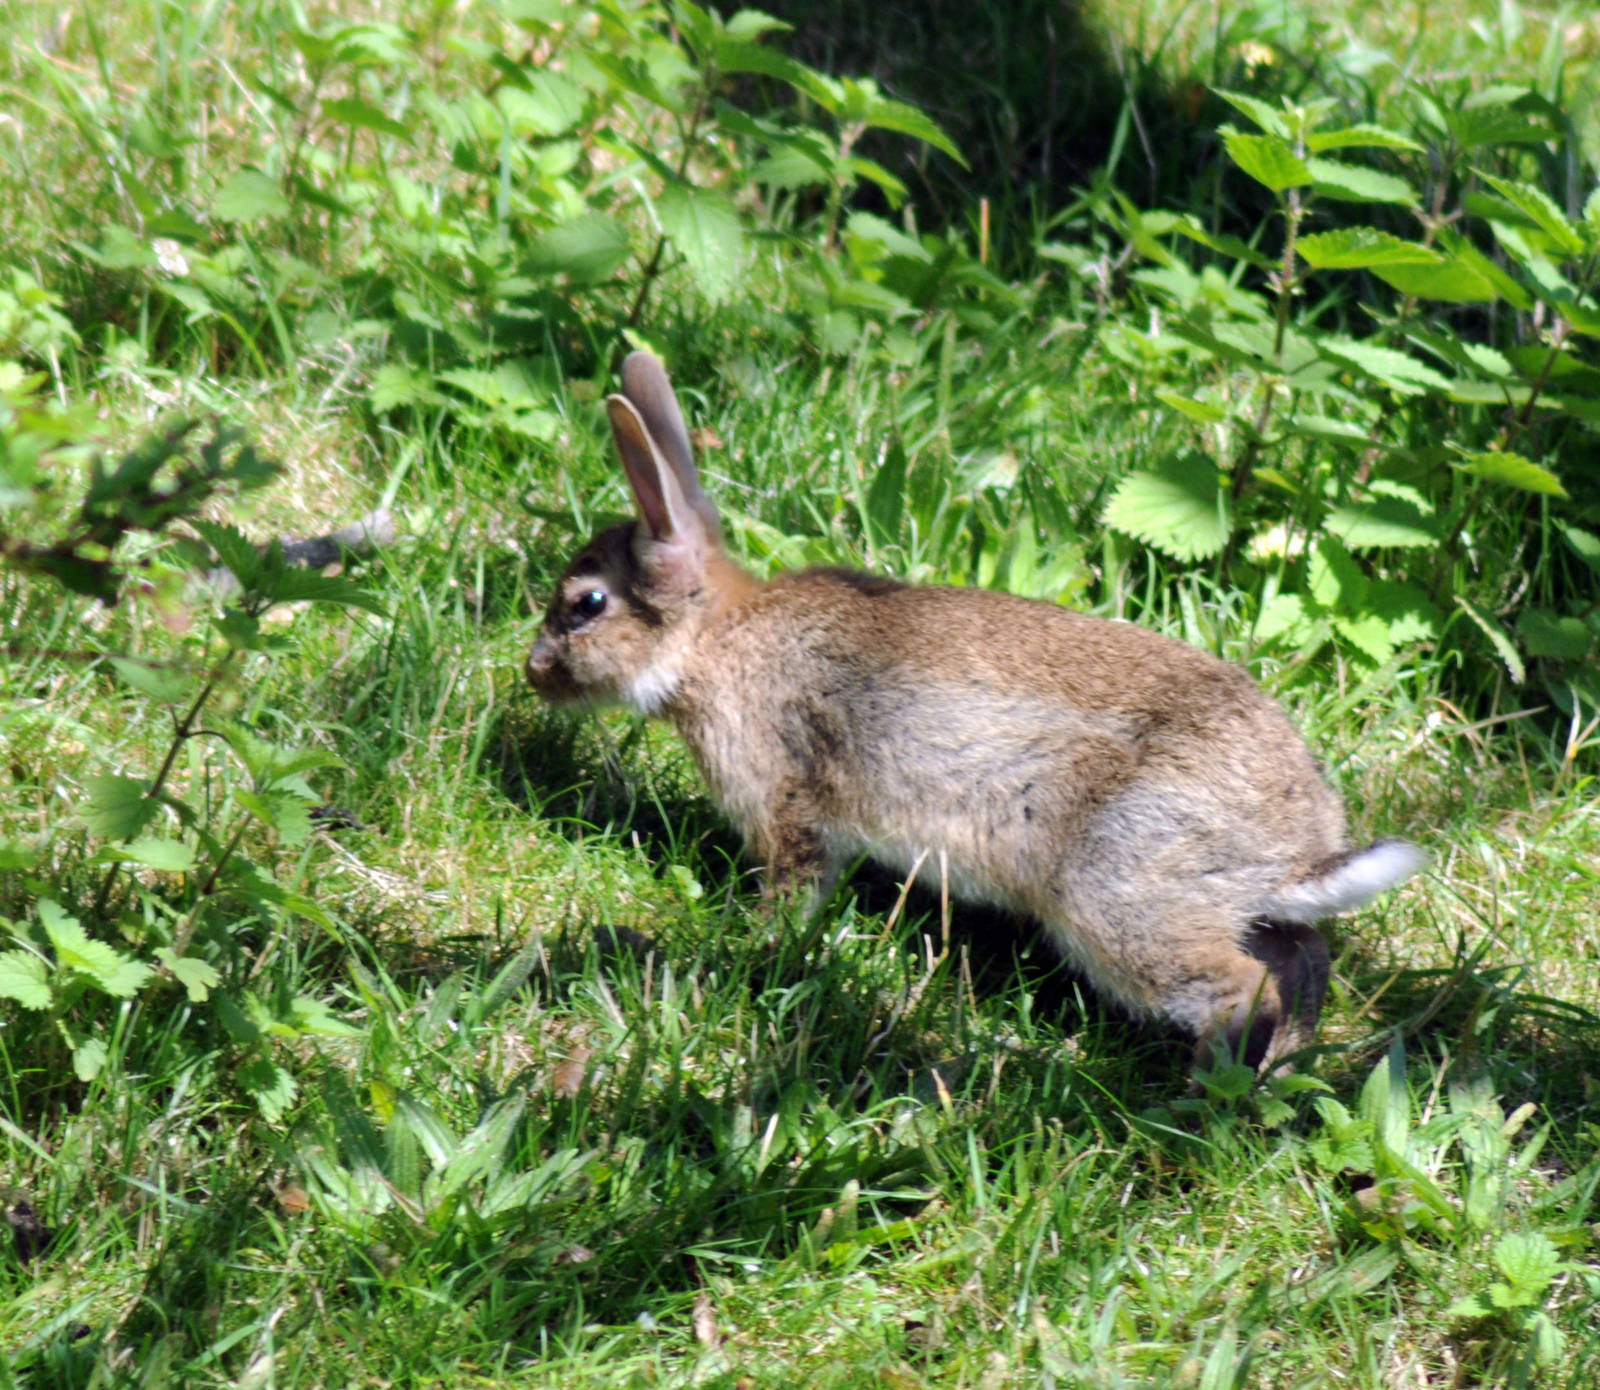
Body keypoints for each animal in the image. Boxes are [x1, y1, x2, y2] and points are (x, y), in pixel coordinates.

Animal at [527, 351, 1425, 1072]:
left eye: (586, 605)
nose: (534, 671)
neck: (714, 639)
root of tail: (1303, 847)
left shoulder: (784, 801)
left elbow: (794, 885)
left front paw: (754, 945)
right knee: (1302, 963)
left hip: (1120, 890)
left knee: (1239, 988)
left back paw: (1198, 1105)